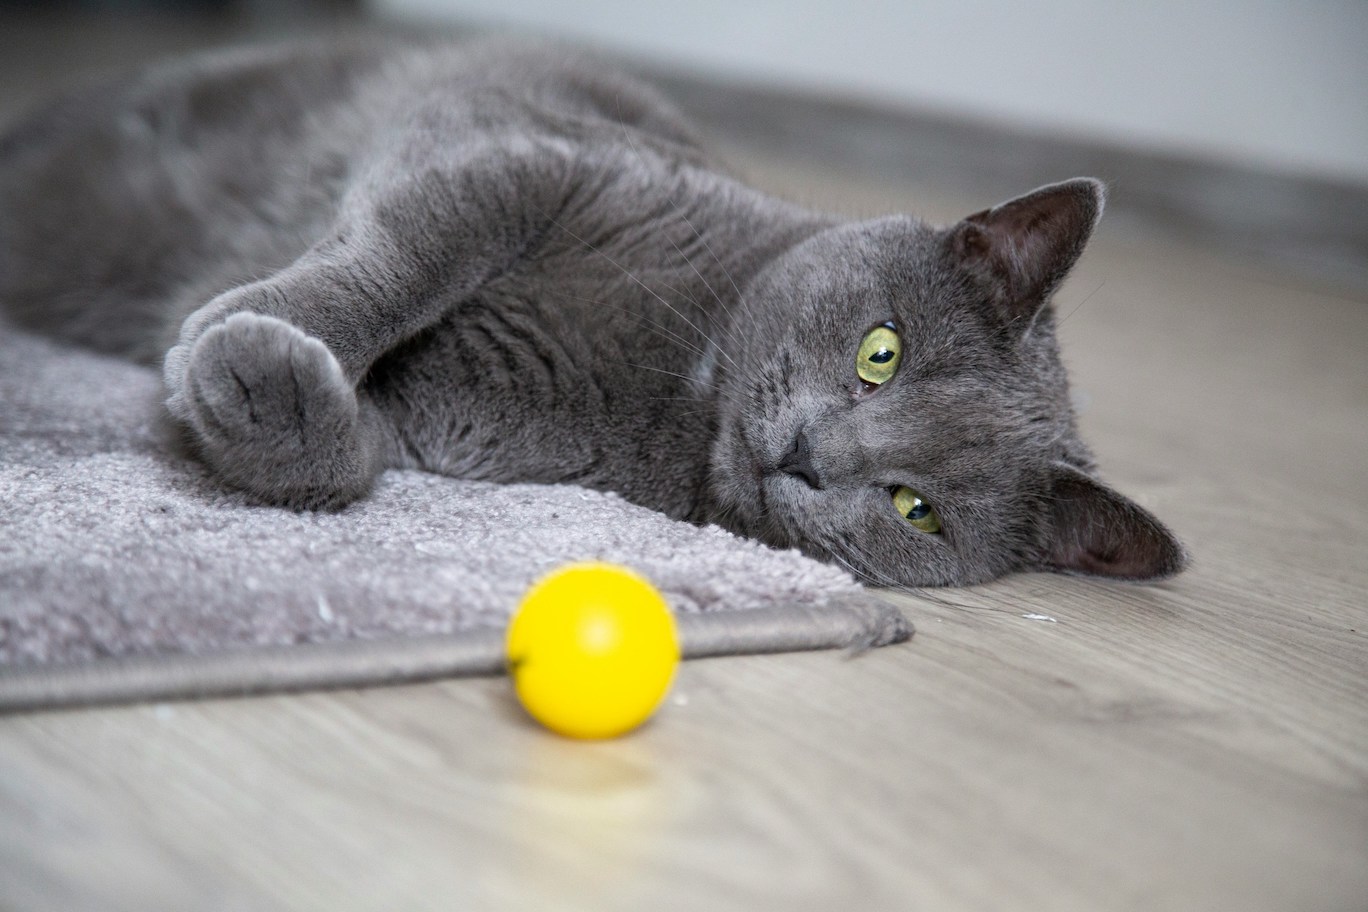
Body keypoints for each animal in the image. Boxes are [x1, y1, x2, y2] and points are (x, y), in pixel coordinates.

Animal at [0, 35, 1187, 585]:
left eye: (915, 509)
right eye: (881, 351)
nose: (809, 455)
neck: (675, 369)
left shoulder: (443, 429)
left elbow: (346, 457)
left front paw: (261, 389)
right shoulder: (516, 155)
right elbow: (403, 257)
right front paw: (243, 334)